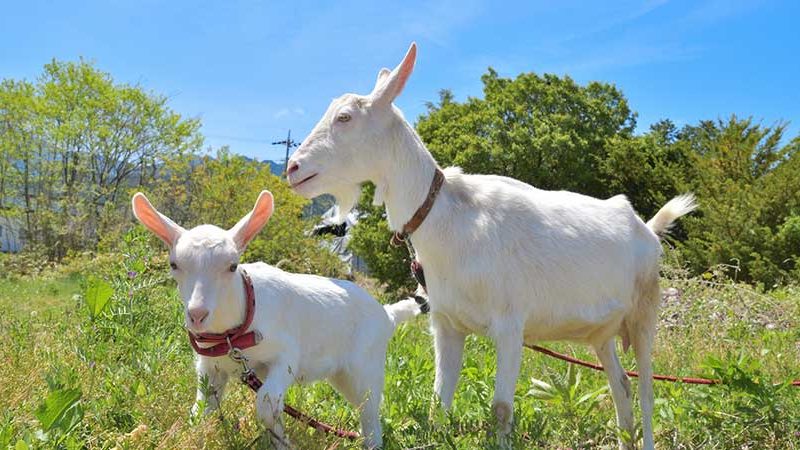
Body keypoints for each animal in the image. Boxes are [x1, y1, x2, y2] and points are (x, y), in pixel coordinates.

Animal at [130, 191, 424, 450]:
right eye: (174, 265)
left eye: (232, 266)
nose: (198, 315)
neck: (234, 332)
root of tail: (387, 314)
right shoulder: (210, 368)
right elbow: (202, 410)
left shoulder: (286, 355)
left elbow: (266, 402)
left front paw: (281, 443)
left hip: (366, 364)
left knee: (370, 408)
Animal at [286, 40, 692, 448]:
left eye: (345, 117)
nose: (293, 168)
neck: (448, 218)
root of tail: (647, 228)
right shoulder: (446, 324)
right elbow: (438, 403)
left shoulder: (511, 324)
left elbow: (501, 408)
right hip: (603, 334)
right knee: (621, 386)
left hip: (644, 313)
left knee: (646, 392)